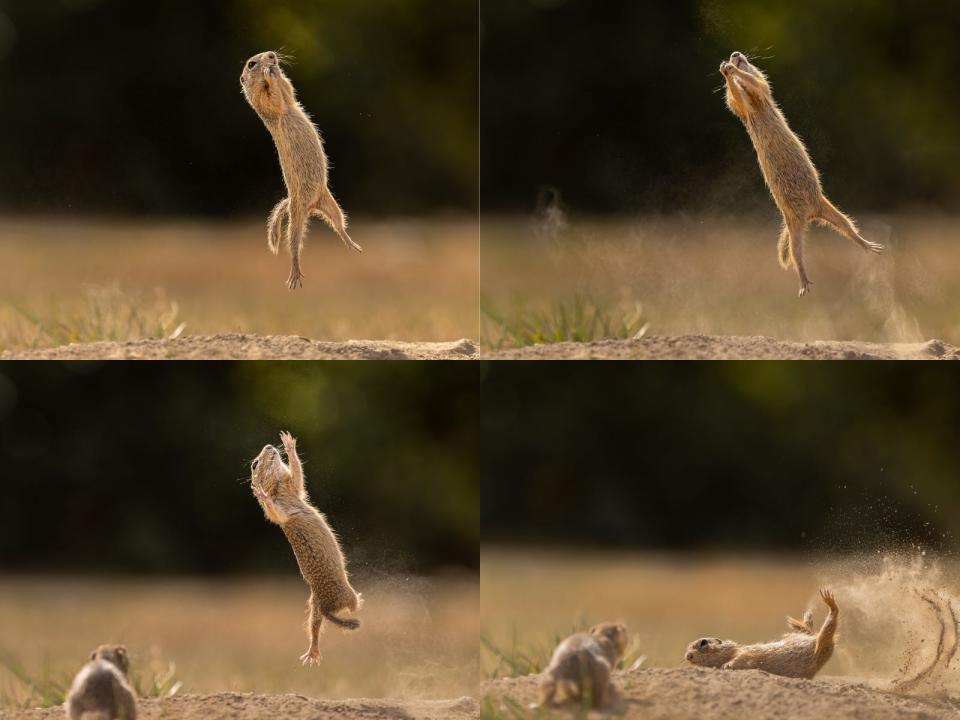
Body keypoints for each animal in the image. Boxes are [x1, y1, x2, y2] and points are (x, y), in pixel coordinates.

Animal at [238, 50, 362, 290]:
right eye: (251, 64)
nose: (272, 55)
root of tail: (311, 206)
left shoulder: (289, 96)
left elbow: (289, 89)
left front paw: (277, 71)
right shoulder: (266, 103)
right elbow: (272, 98)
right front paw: (268, 73)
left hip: (331, 203)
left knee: (338, 225)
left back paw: (353, 245)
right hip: (295, 219)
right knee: (294, 246)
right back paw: (294, 275)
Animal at [249, 430, 362, 668]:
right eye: (255, 464)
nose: (269, 446)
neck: (278, 488)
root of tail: (326, 607)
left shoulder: (293, 488)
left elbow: (298, 477)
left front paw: (288, 442)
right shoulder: (280, 506)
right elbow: (276, 507)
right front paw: (262, 494)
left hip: (313, 608)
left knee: (315, 627)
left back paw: (312, 653)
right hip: (345, 596)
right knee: (352, 607)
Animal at [684, 588, 840, 676]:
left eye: (703, 643)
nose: (687, 656)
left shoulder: (745, 654)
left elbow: (742, 657)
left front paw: (727, 665)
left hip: (822, 645)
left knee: (824, 627)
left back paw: (827, 603)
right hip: (822, 644)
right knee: (821, 630)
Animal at [716, 52, 880, 296]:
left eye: (745, 57)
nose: (735, 54)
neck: (752, 106)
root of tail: (809, 216)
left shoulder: (758, 92)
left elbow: (756, 82)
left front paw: (730, 69)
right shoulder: (744, 103)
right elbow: (738, 94)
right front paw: (727, 70)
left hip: (829, 209)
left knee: (847, 228)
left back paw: (867, 245)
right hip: (795, 230)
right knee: (797, 256)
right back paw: (804, 282)